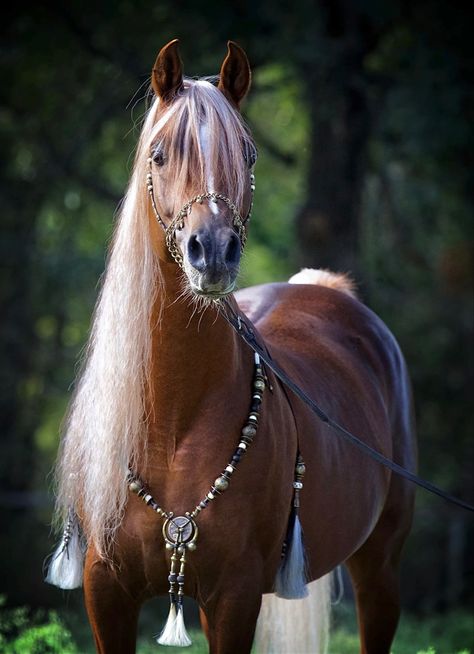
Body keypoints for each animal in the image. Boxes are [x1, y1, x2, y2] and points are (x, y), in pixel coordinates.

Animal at [46, 38, 416, 652]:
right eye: (159, 155)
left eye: (248, 154)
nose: (213, 251)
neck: (173, 422)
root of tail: (325, 288)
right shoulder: (107, 593)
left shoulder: (233, 596)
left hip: (381, 565)